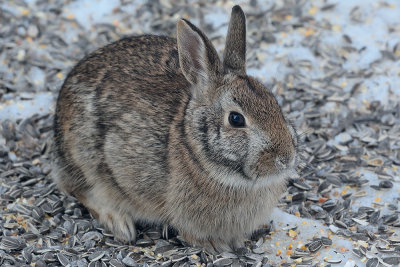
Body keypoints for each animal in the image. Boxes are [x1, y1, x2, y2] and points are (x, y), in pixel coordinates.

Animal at [52, 5, 296, 254]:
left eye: (275, 103)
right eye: (236, 119)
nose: (285, 159)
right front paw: (215, 245)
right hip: (84, 158)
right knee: (79, 188)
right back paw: (119, 223)